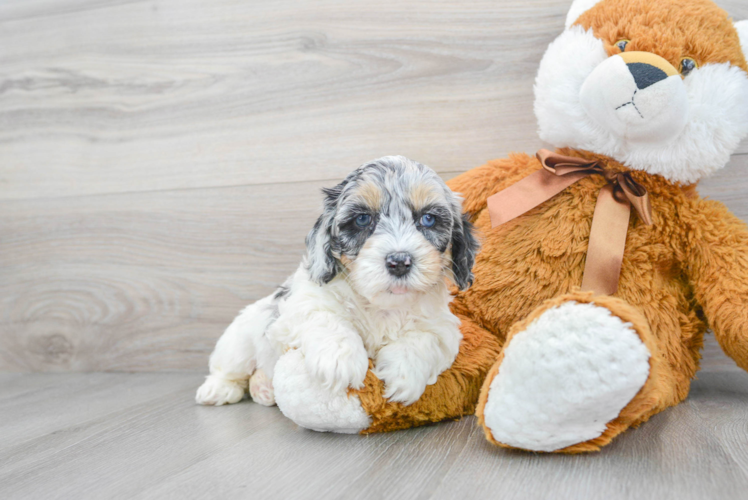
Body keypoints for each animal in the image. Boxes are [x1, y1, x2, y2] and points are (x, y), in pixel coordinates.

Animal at [196, 157, 480, 410]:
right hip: (240, 340)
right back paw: (218, 389)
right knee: (230, 368)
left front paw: (404, 373)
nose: (399, 261)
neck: (382, 306)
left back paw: (263, 388)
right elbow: (329, 319)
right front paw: (339, 360)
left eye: (428, 219)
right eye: (363, 219)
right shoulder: (304, 303)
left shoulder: (443, 327)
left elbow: (424, 339)